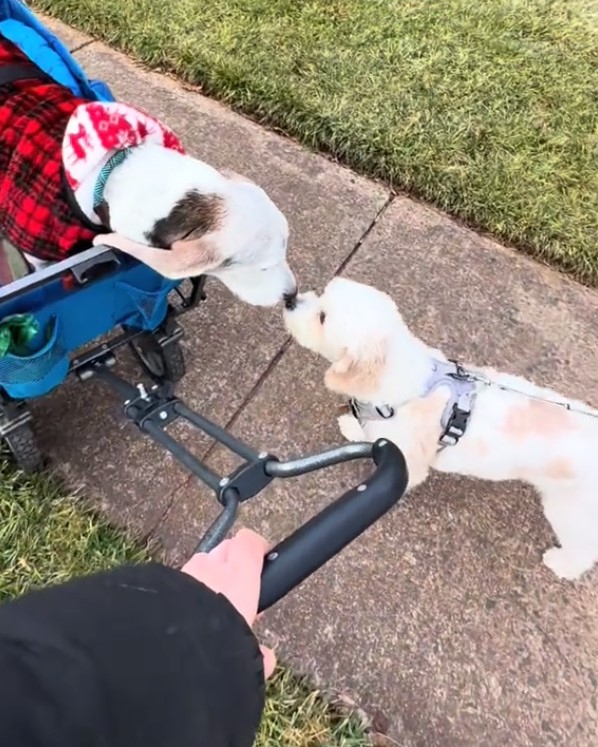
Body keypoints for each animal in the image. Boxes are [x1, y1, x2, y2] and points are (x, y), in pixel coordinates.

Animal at [284, 278, 598, 580]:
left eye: (322, 317)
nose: (290, 300)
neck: (398, 372)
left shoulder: (409, 459)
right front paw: (354, 426)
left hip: (570, 511)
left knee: (583, 552)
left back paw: (562, 565)